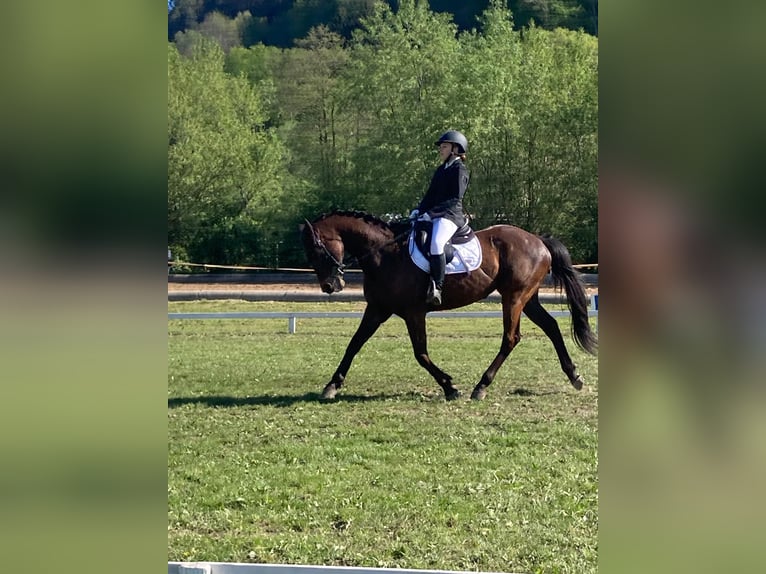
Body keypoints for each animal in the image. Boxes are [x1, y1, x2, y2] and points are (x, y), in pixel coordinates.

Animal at [302, 209, 600, 402]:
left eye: (316, 250)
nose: (330, 286)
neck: (384, 255)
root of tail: (538, 239)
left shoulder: (413, 312)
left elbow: (420, 353)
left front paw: (449, 386)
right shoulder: (377, 309)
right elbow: (354, 344)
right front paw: (332, 385)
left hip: (514, 297)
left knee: (511, 338)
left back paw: (481, 386)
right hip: (528, 298)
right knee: (551, 327)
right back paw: (574, 376)